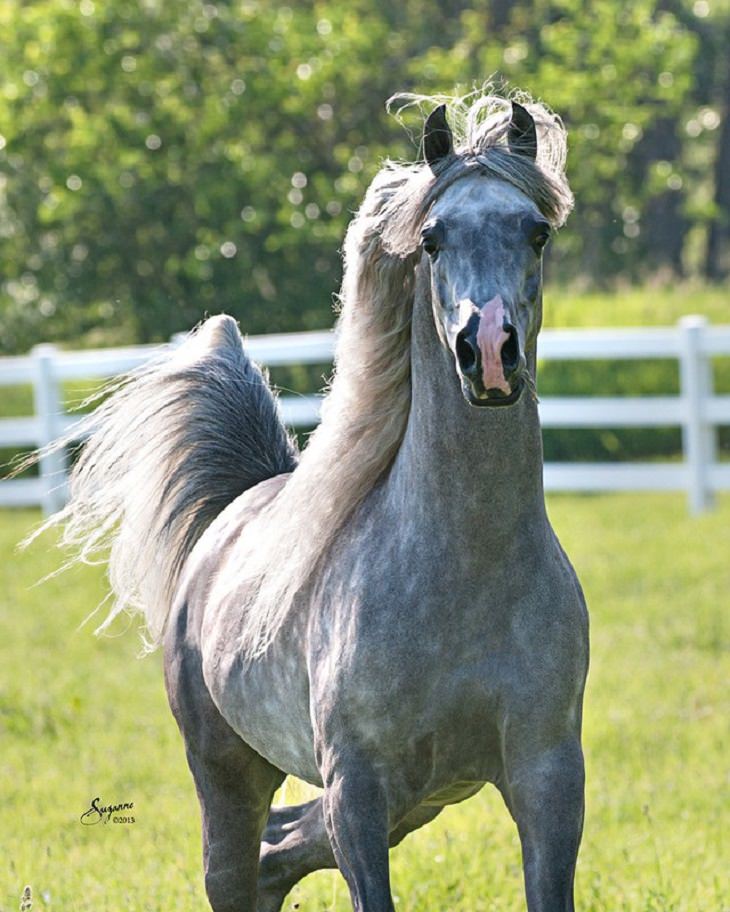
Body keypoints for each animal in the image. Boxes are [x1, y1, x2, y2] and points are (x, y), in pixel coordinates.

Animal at [38, 94, 584, 912]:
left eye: (537, 231)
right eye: (431, 239)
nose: (488, 351)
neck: (465, 573)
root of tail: (228, 517)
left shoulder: (548, 778)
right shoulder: (357, 790)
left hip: (420, 797)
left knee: (281, 849)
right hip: (230, 774)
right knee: (237, 870)